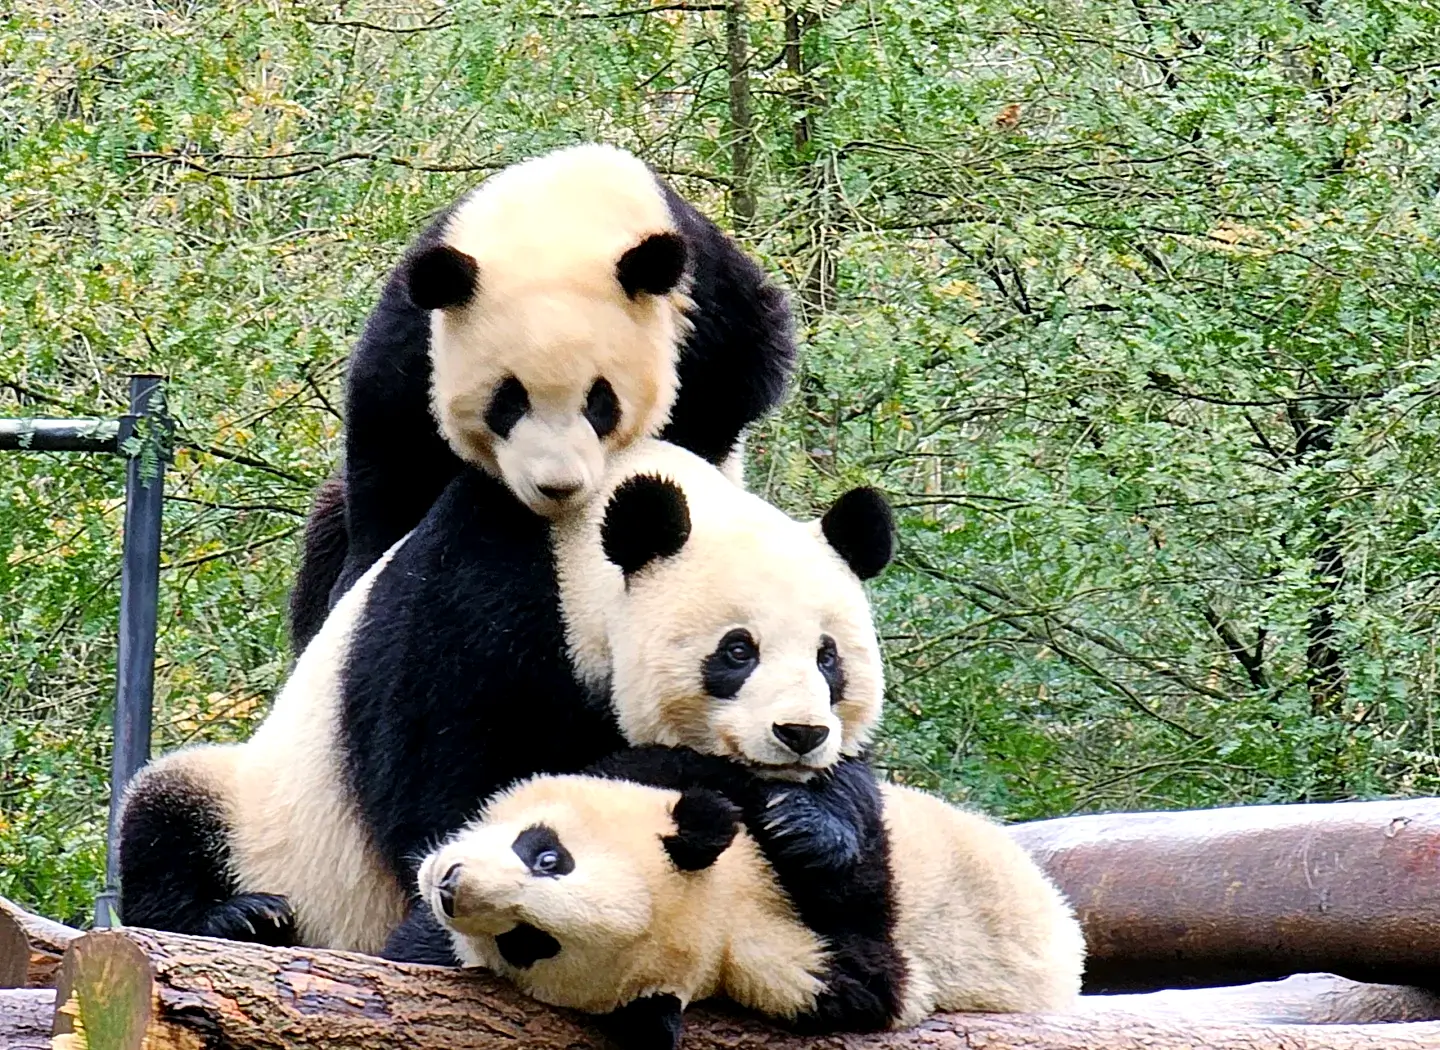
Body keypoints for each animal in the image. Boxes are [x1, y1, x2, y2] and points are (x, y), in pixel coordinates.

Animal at [118, 439, 895, 955]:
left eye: (830, 658)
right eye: (737, 651)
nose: (800, 734)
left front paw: (808, 823)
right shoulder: (476, 599)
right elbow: (454, 796)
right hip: (265, 824)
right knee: (166, 814)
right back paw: (241, 918)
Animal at [288, 143, 794, 651]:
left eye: (600, 402)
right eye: (507, 401)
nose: (557, 487)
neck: (555, 220)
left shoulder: (709, 316)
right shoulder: (414, 341)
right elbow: (392, 457)